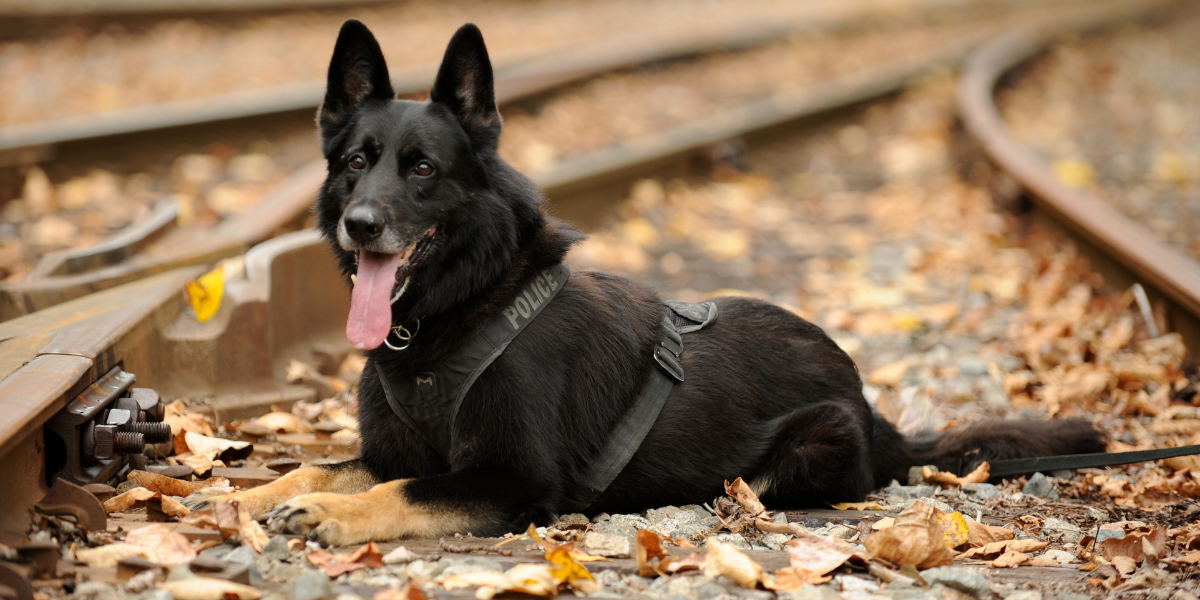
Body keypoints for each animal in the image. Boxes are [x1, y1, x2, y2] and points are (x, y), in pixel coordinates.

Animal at [184, 19, 1104, 544]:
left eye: (420, 169)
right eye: (356, 163)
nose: (362, 224)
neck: (457, 313)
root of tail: (882, 421)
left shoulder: (513, 483)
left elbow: (404, 489)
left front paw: (332, 518)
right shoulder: (388, 450)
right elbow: (322, 467)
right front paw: (255, 495)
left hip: (809, 447)